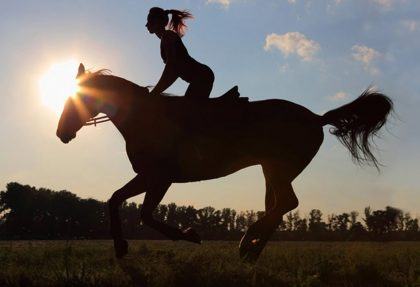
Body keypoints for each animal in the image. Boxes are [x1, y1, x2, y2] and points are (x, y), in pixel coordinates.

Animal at [56, 63, 394, 264]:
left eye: (77, 99)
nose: (61, 133)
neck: (143, 118)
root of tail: (316, 118)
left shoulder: (161, 178)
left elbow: (146, 215)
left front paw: (190, 234)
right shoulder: (148, 176)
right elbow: (114, 200)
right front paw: (120, 246)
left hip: (278, 168)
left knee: (284, 203)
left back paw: (246, 244)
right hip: (272, 170)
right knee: (277, 206)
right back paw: (251, 249)